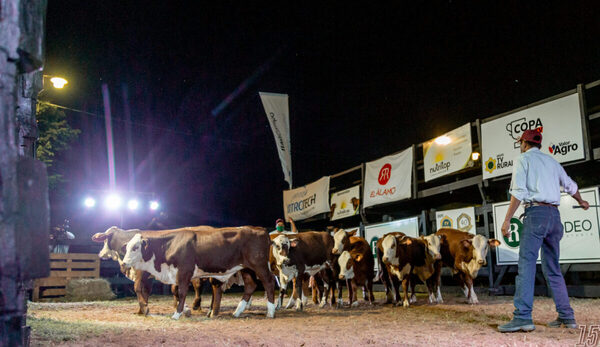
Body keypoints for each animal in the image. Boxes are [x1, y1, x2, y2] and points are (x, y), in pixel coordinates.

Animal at [122, 226, 276, 320]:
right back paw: (237, 312)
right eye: (127, 247)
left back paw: (271, 311)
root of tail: (260, 229)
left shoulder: (185, 272)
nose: (123, 263)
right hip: (245, 268)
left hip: (259, 265)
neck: (171, 244)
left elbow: (182, 292)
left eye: (135, 247)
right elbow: (176, 291)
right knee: (250, 285)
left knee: (269, 283)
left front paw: (177, 314)